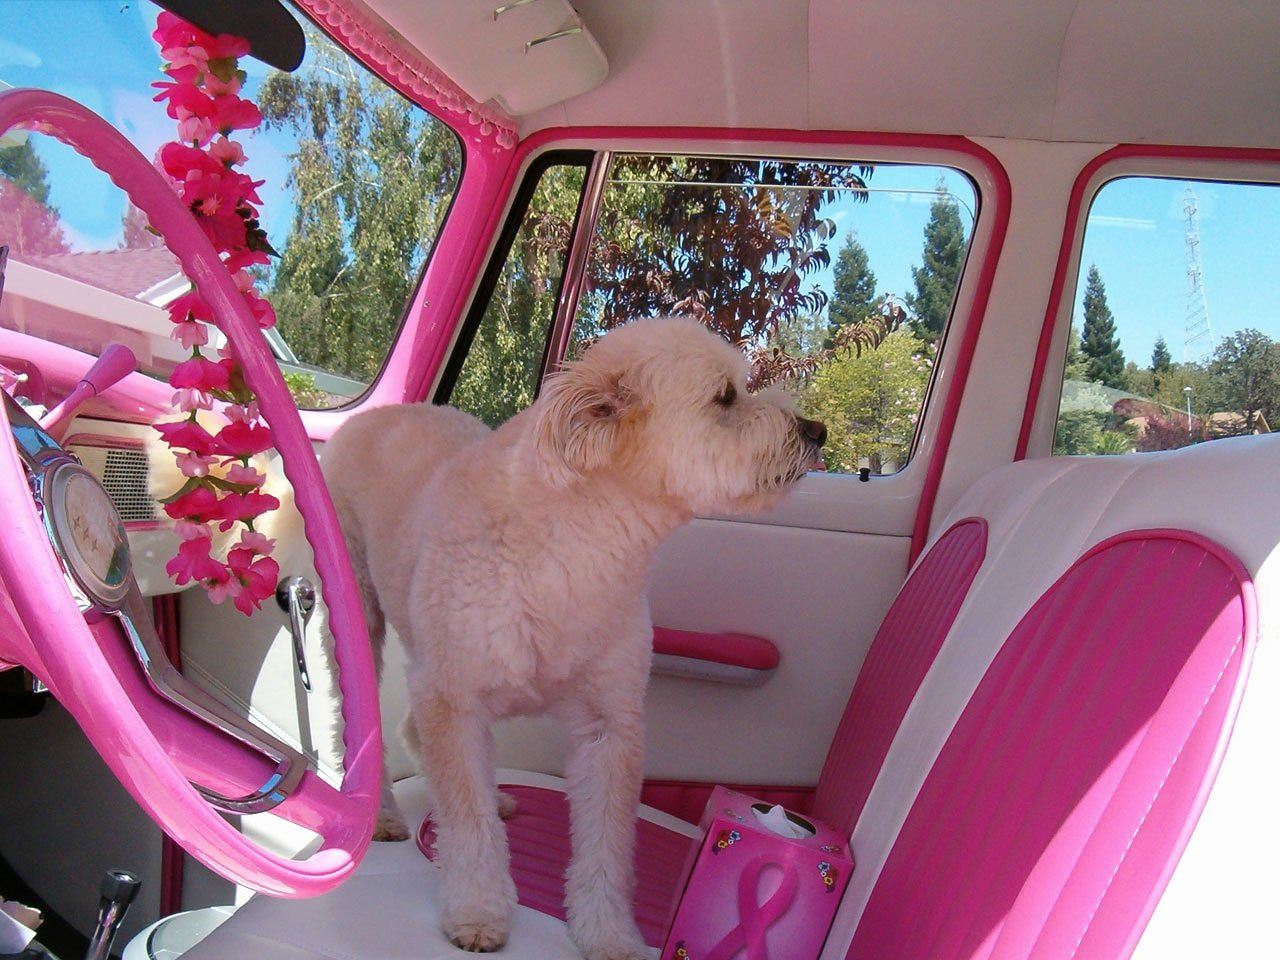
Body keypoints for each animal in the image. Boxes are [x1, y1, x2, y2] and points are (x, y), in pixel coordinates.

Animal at [322, 320, 829, 957]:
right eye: (725, 398)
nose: (818, 430)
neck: (580, 546)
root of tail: (381, 412)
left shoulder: (608, 728)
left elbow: (607, 848)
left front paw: (608, 933)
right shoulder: (452, 697)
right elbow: (467, 821)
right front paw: (477, 909)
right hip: (361, 621)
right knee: (360, 723)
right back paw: (385, 814)